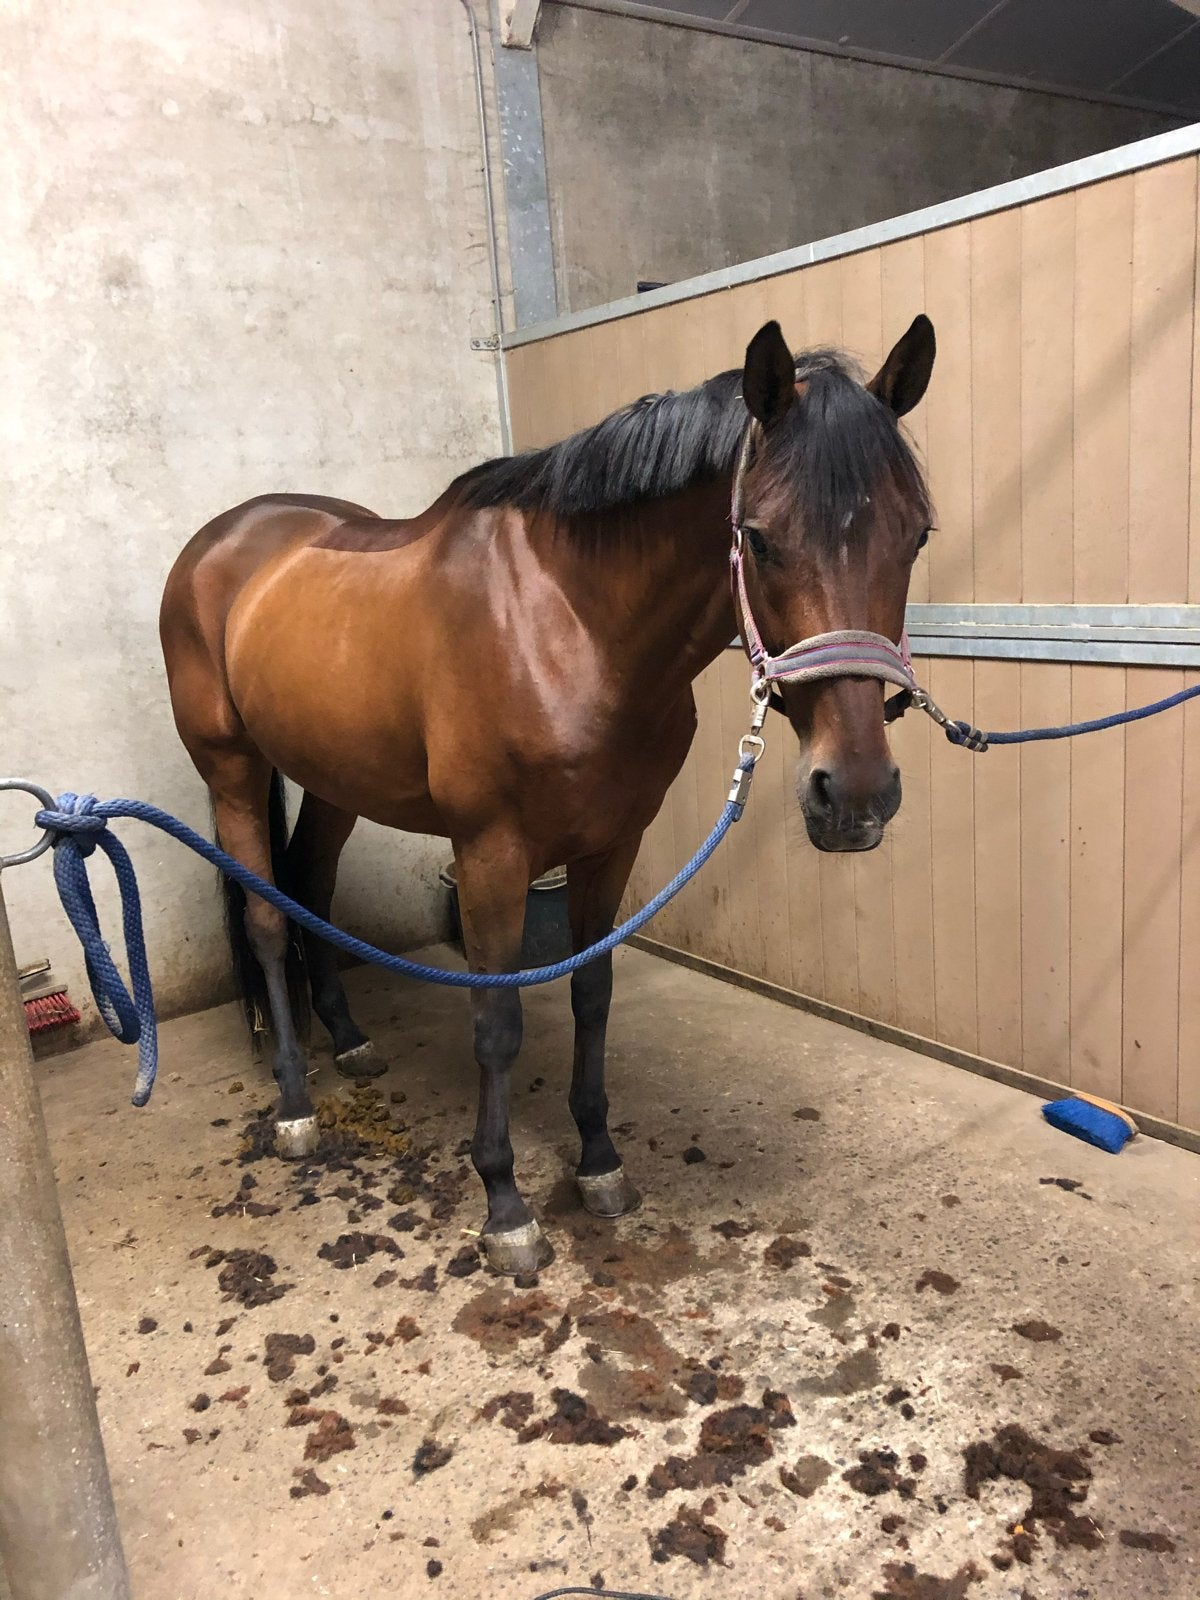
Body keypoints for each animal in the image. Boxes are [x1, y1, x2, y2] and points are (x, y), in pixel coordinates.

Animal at [159, 315, 936, 1276]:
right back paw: (296, 1106)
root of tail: (225, 540)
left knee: (310, 886)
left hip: (336, 775)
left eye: (917, 536)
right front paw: (505, 1207)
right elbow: (496, 1019)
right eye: (759, 537)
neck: (570, 625)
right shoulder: (491, 856)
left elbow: (591, 994)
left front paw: (599, 1163)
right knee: (268, 920)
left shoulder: (614, 845)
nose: (855, 794)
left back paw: (349, 1042)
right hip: (231, 770)